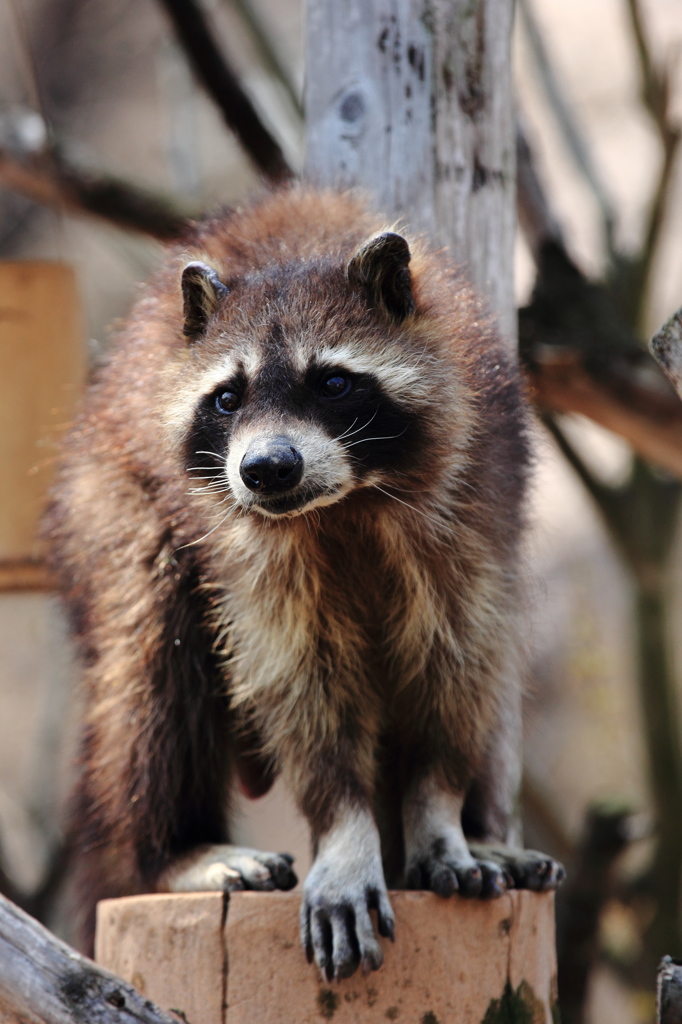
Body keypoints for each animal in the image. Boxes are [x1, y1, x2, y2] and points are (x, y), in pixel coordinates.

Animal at [46, 188, 557, 978]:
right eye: (228, 398)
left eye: (334, 383)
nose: (266, 469)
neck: (343, 504)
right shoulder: (250, 553)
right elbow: (300, 683)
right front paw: (345, 831)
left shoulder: (476, 508)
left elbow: (455, 663)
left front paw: (439, 810)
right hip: (108, 504)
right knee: (152, 673)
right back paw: (170, 851)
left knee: (491, 690)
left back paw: (484, 827)